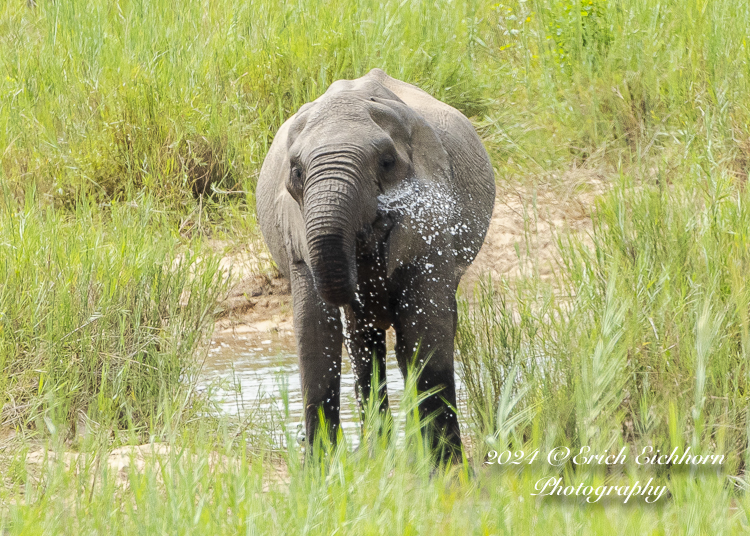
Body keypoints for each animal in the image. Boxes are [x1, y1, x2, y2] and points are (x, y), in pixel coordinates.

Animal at [256, 69, 496, 462]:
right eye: (296, 171)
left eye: (386, 162)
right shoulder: (296, 231)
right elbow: (315, 332)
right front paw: (320, 468)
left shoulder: (430, 219)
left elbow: (426, 333)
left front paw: (446, 468)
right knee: (363, 345)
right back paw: (377, 454)